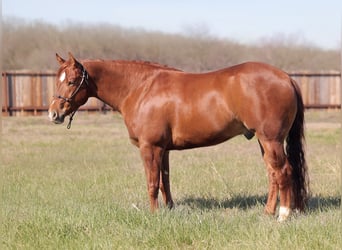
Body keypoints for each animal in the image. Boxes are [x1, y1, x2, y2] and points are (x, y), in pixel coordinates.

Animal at [48, 52, 310, 221]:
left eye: (71, 81)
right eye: (57, 79)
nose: (54, 113)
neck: (141, 88)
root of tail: (286, 77)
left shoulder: (150, 147)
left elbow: (152, 183)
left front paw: (154, 215)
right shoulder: (163, 149)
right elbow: (165, 182)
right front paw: (169, 210)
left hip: (271, 140)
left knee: (283, 171)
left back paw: (283, 215)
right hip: (263, 141)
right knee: (273, 174)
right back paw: (268, 212)